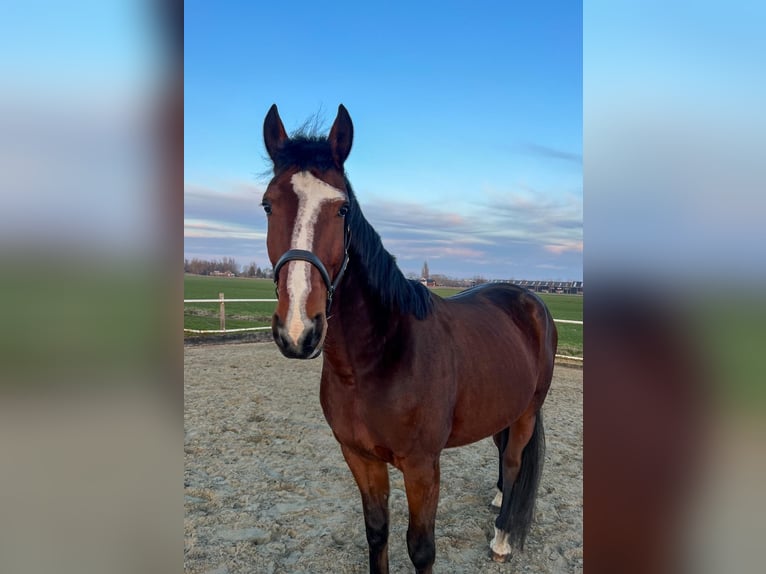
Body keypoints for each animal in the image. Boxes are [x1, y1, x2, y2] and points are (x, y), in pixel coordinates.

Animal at [262, 104, 560, 574]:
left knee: (514, 462)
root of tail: (530, 300)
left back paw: (502, 537)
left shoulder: (422, 467)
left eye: (342, 209)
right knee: (503, 453)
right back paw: (497, 501)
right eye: (267, 205)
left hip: (528, 411)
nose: (298, 329)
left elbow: (421, 548)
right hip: (504, 407)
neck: (375, 360)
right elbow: (377, 532)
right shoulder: (360, 458)